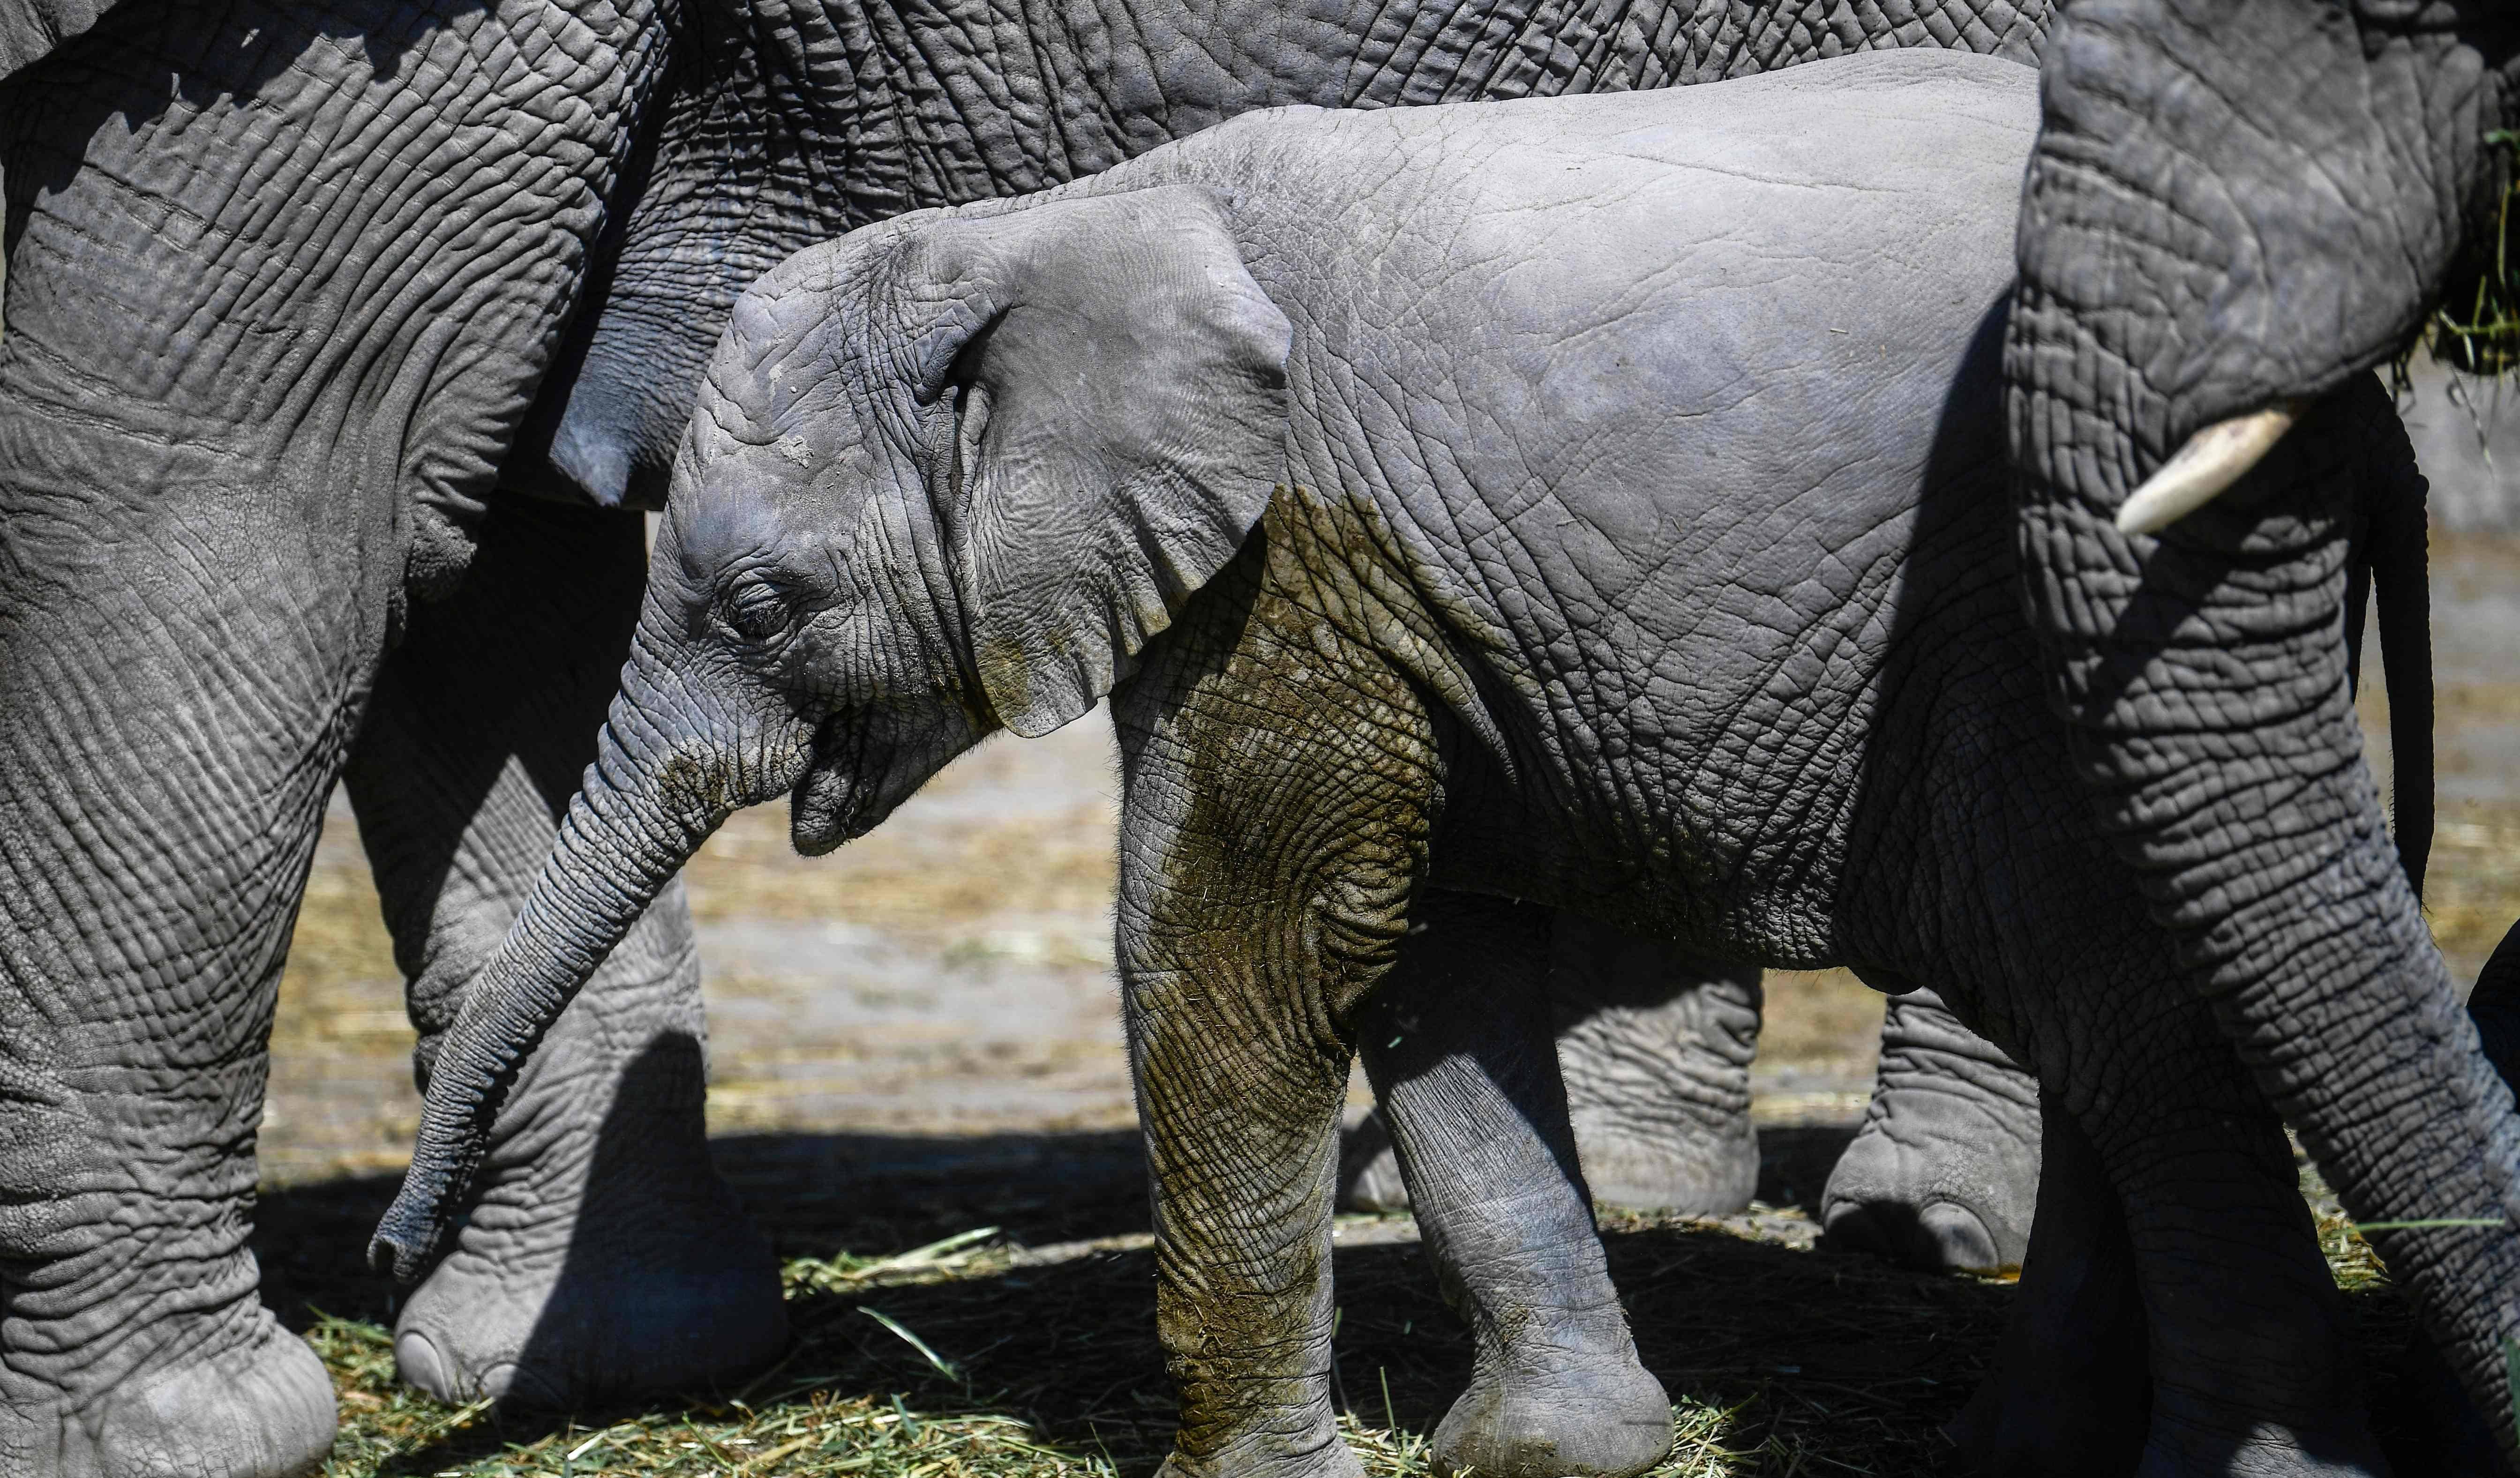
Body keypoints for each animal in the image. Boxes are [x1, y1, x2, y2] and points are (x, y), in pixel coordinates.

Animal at [368, 46, 2419, 1478]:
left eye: (762, 604)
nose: (390, 1266)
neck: (1063, 219)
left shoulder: (1297, 540)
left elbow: (1240, 945)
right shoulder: (1423, 579)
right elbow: (1433, 960)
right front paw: (1553, 1454)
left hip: (2040, 605)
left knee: (2112, 999)